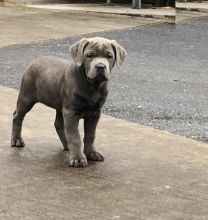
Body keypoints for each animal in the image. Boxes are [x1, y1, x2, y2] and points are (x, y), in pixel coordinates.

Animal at [11, 37, 127, 168]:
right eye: (89, 55)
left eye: (109, 56)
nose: (100, 66)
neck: (92, 86)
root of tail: (34, 61)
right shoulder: (71, 112)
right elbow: (75, 137)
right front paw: (78, 158)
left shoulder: (95, 113)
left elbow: (90, 135)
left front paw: (92, 153)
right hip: (26, 96)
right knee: (17, 116)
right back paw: (16, 140)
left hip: (60, 106)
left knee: (58, 124)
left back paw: (67, 145)